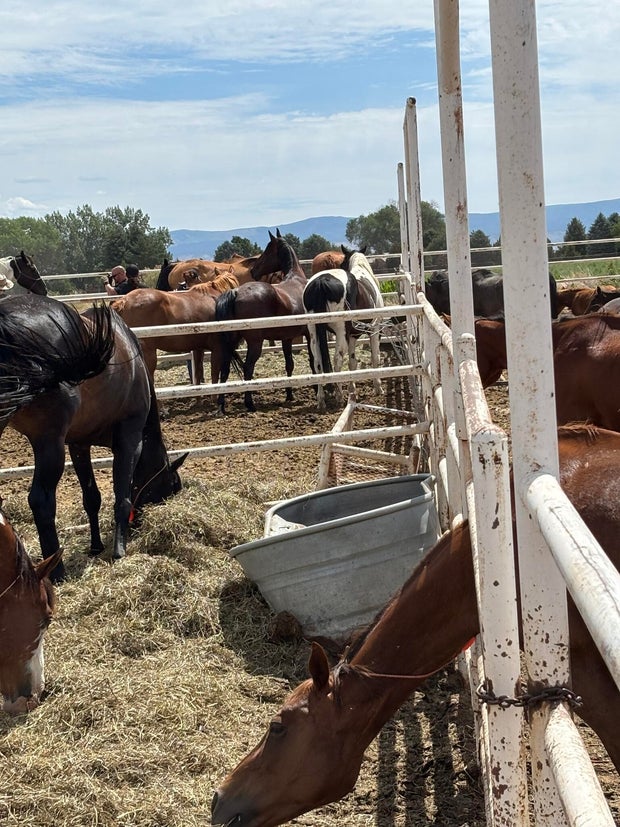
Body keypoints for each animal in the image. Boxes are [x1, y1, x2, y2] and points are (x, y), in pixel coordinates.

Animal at [0, 295, 186, 582]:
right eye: (171, 486)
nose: (140, 525)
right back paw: (57, 572)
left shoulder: (79, 445)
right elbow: (122, 495)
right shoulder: (130, 440)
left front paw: (96, 545)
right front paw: (119, 550)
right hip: (48, 441)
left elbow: (92, 498)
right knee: (42, 501)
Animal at [214, 230, 308, 413]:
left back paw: (222, 404)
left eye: (267, 250)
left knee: (225, 368)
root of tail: (236, 292)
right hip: (255, 343)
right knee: (248, 368)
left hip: (232, 342)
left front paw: (289, 394)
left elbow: (289, 364)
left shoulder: (287, 339)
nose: (254, 270)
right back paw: (249, 403)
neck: (297, 280)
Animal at [303, 246, 384, 412]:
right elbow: (375, 357)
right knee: (337, 360)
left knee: (317, 362)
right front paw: (378, 387)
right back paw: (339, 397)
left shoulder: (352, 336)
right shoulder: (374, 331)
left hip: (314, 331)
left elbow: (352, 362)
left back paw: (321, 400)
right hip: (340, 332)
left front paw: (353, 390)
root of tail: (321, 282)